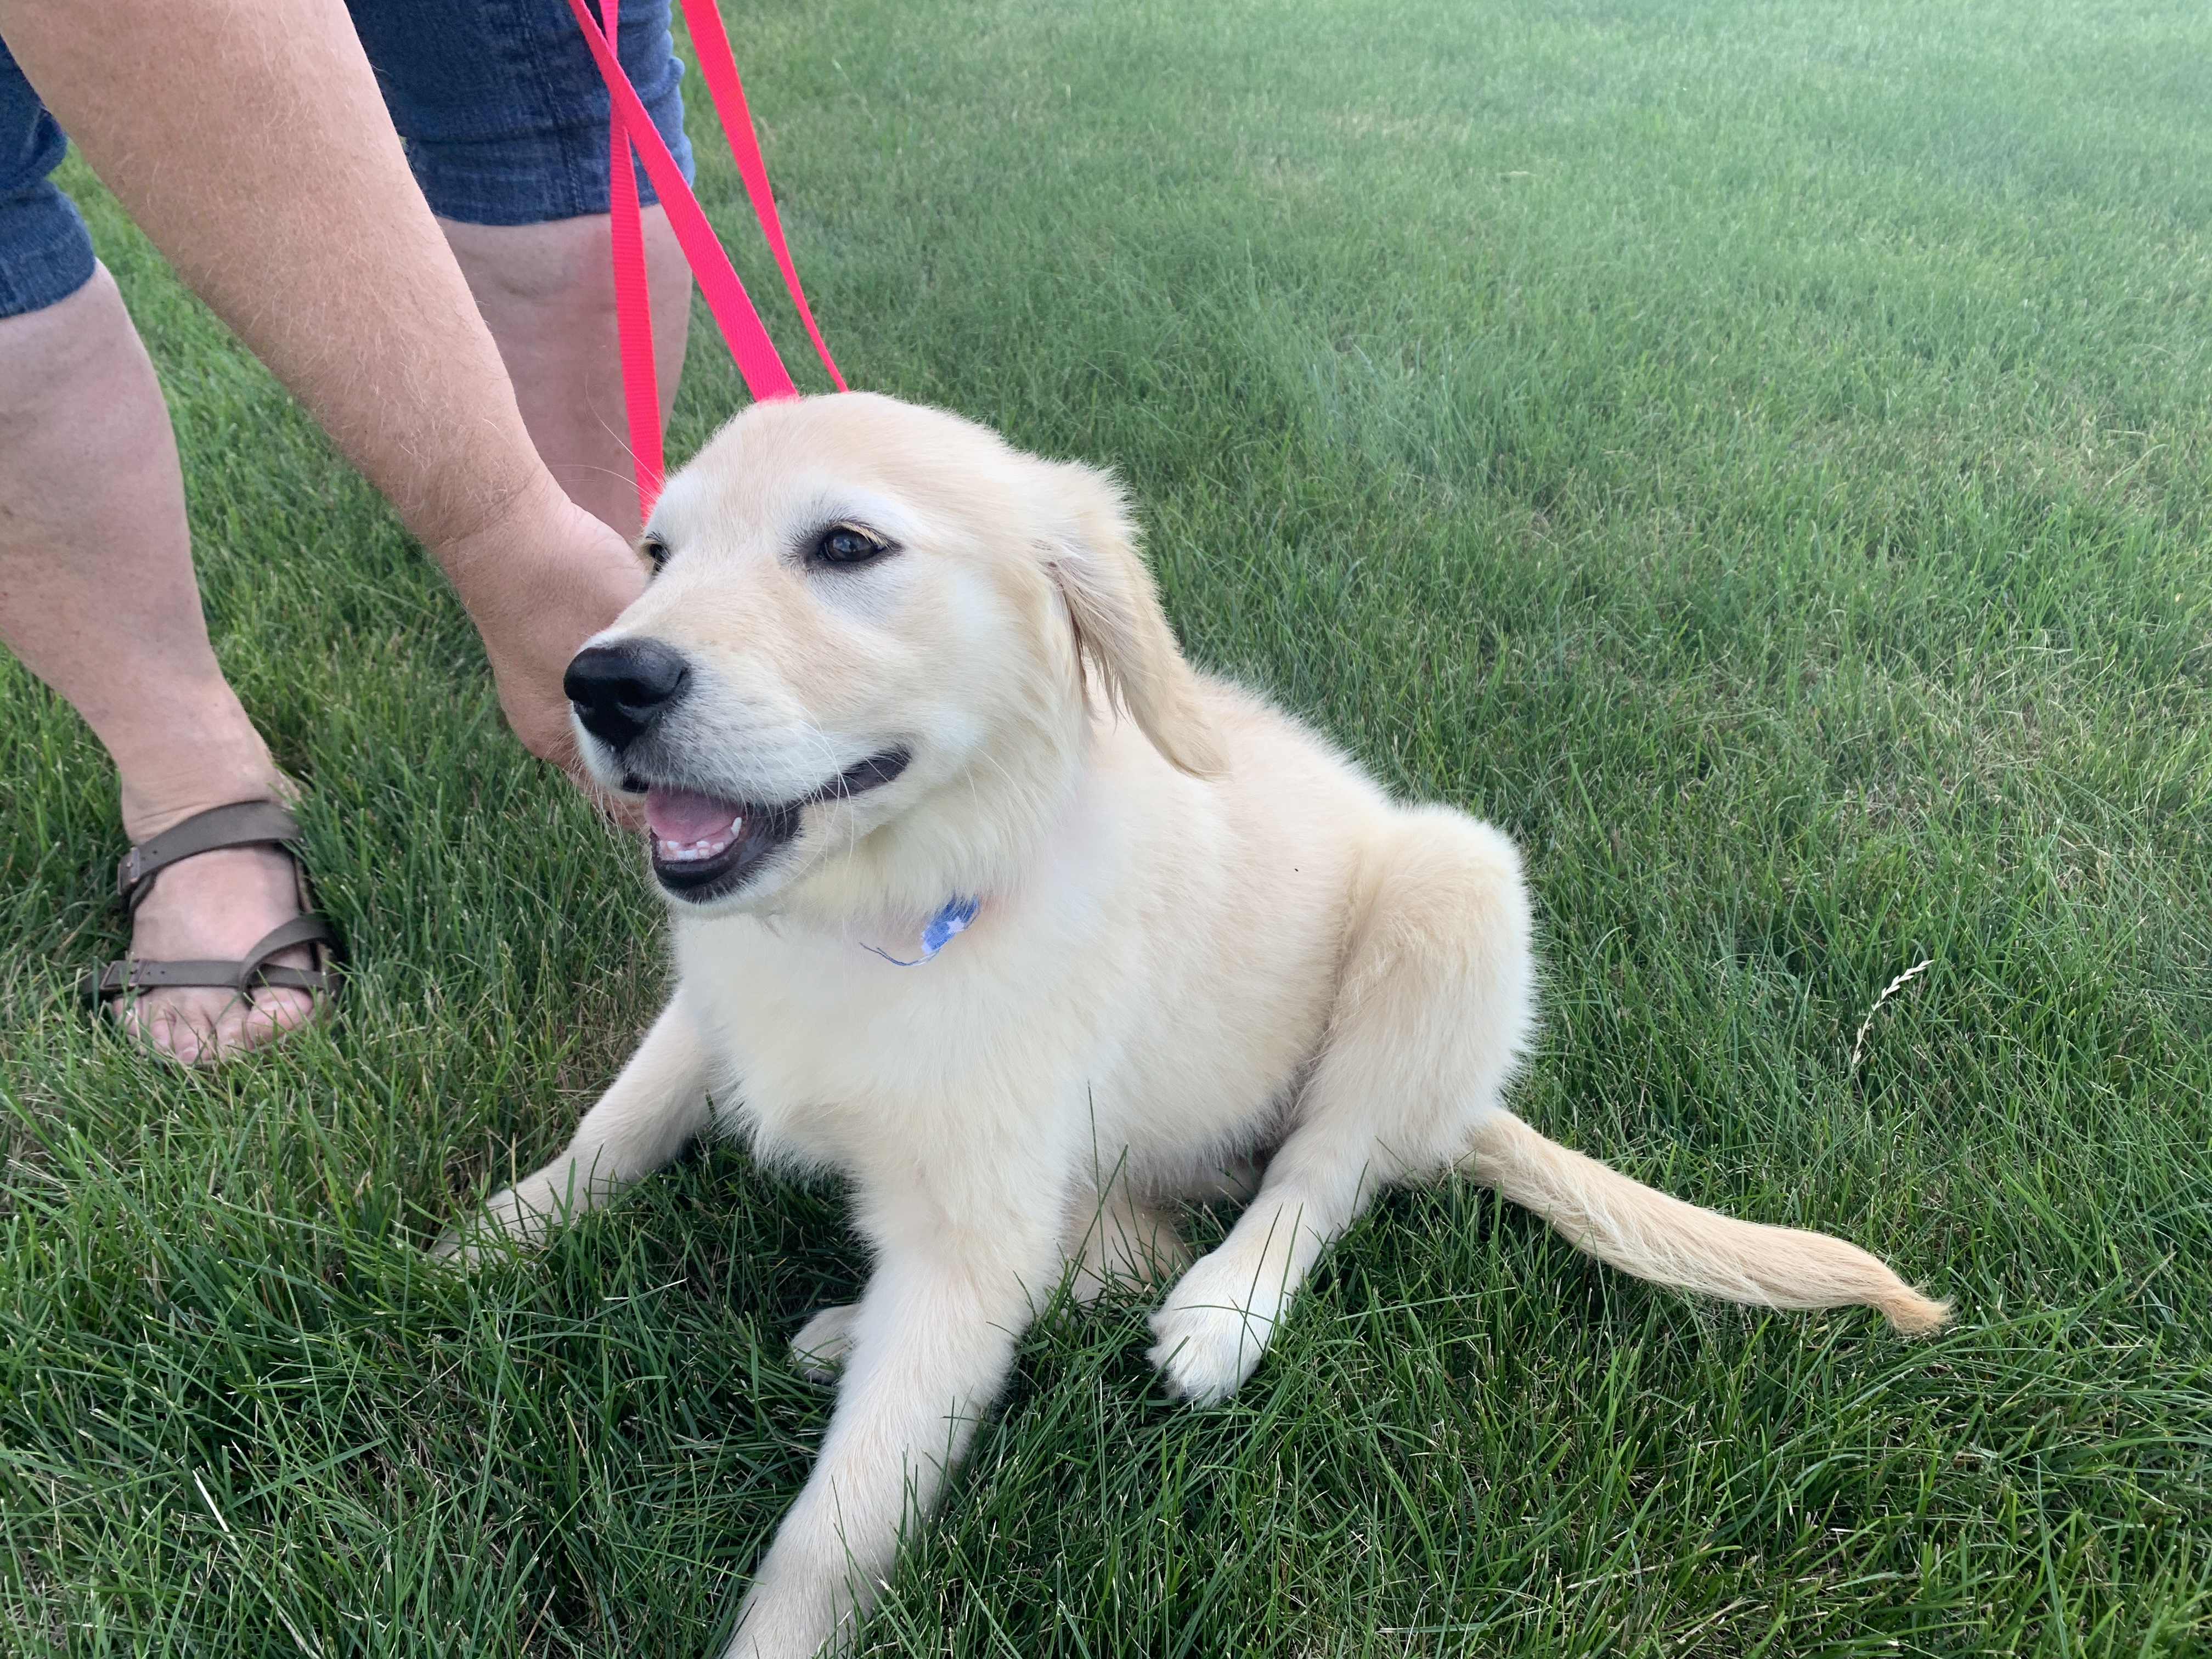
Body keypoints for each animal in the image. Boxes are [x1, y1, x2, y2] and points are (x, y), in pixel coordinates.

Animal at [436, 393, 1955, 1659]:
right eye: (654, 552)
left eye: (848, 546)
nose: (601, 682)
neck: (889, 903)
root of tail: (1468, 1107)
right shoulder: (714, 998)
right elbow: (620, 1119)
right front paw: (487, 1243)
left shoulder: (974, 1229)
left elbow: (842, 1515)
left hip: (1455, 891)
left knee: (1314, 1178)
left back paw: (1218, 1312)